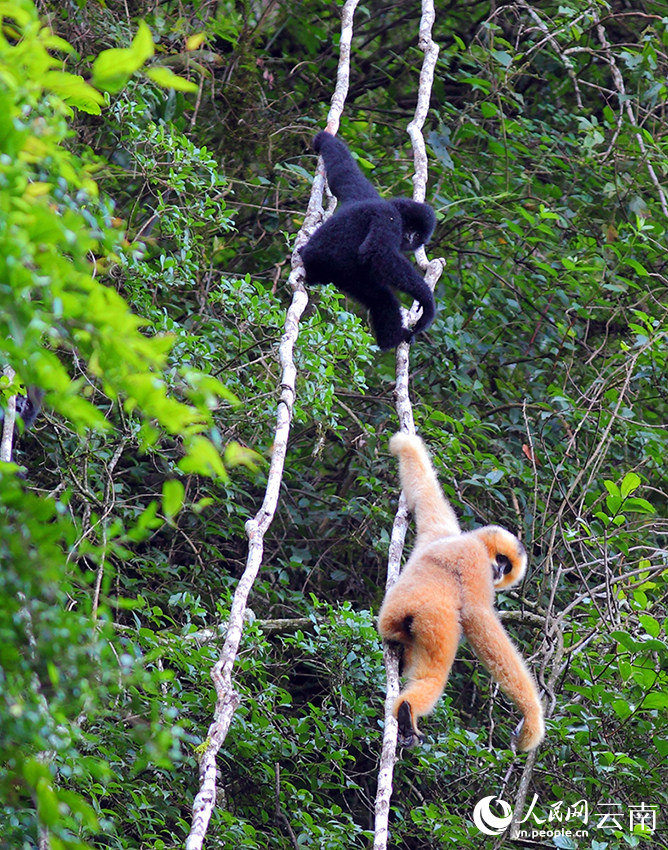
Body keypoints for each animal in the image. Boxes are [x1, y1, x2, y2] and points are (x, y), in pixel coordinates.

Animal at [299, 131, 437, 351]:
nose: (409, 238)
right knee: (382, 298)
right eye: (410, 230)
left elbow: (343, 172)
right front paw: (427, 302)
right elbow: (377, 253)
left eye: (417, 235)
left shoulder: (362, 194)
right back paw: (392, 340)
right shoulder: (389, 217)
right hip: (339, 271)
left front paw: (323, 139)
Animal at [377, 433, 545, 752]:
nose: (500, 572)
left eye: (507, 567)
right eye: (502, 561)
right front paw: (532, 714)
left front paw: (404, 444)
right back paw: (406, 712)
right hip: (434, 620)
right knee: (434, 672)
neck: (465, 539)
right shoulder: (475, 558)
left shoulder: (441, 530)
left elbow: (424, 491)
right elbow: (477, 617)